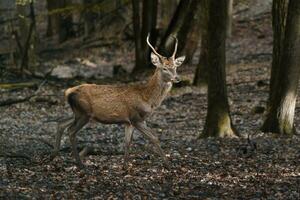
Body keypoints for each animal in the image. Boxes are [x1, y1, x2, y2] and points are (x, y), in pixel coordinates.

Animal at [50, 35, 184, 168]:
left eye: (176, 67)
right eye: (164, 68)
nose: (177, 78)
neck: (146, 98)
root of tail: (68, 92)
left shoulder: (130, 121)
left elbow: (127, 142)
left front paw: (124, 166)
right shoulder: (136, 117)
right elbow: (154, 137)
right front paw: (168, 165)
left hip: (78, 112)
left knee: (61, 123)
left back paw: (54, 155)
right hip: (84, 112)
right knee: (71, 131)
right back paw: (79, 163)